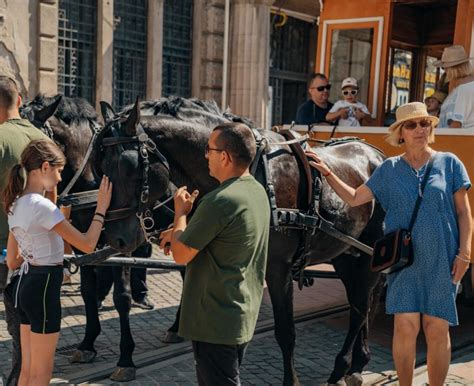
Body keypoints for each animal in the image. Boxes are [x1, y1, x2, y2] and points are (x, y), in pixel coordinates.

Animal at [96, 97, 386, 386]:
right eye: (100, 169)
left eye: (129, 167)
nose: (116, 238)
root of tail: (377, 155)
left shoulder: (278, 268)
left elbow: (285, 331)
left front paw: (290, 380)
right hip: (346, 255)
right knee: (363, 302)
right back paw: (356, 363)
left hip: (369, 255)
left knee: (360, 308)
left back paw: (344, 366)